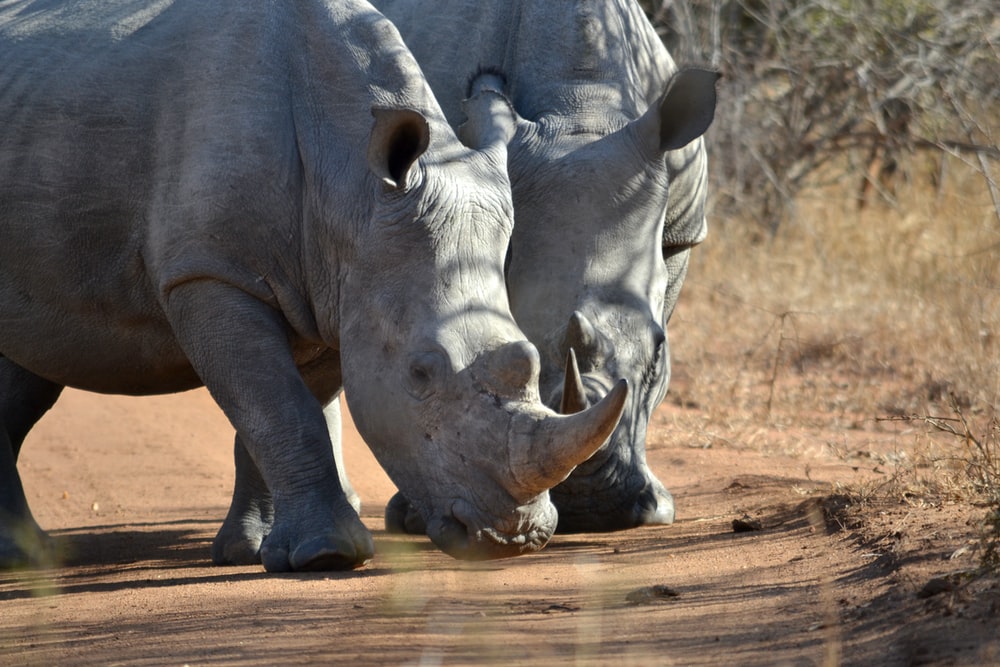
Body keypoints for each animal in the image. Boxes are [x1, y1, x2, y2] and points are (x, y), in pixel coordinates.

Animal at [0, 0, 628, 572]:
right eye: (420, 375)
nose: (516, 537)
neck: (350, 183)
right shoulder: (210, 271)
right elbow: (280, 407)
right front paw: (328, 555)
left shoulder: (342, 289)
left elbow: (276, 410)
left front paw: (253, 550)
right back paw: (24, 564)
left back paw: (28, 558)